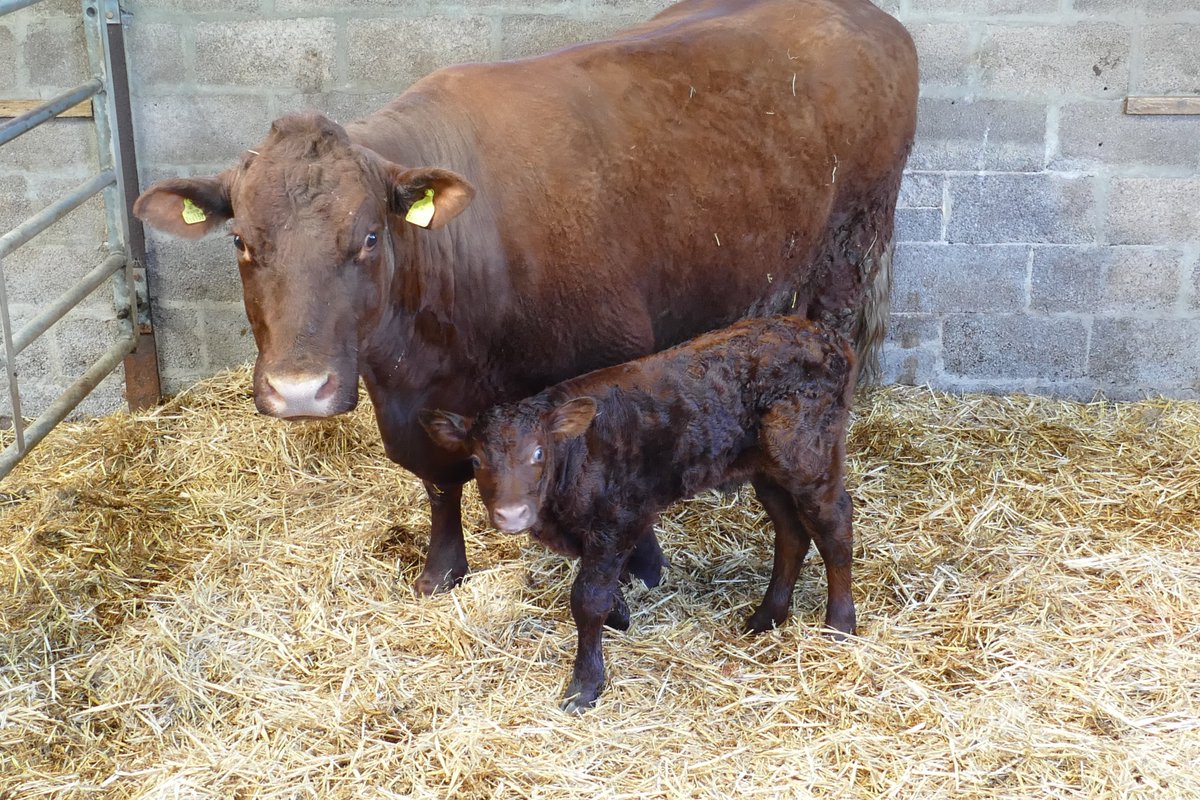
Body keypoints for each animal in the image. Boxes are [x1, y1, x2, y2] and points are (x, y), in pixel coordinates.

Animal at [132, 0, 917, 595]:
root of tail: (870, 17)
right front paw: (442, 570)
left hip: (851, 245)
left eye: (369, 237)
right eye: (242, 241)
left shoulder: (610, 358)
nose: (300, 389)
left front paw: (642, 566)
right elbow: (439, 481)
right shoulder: (408, 402)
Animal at [420, 316, 857, 712]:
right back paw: (767, 616)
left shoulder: (617, 521)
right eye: (476, 460)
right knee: (792, 532)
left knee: (834, 524)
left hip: (810, 459)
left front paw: (585, 686)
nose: (511, 514)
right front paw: (619, 615)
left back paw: (839, 626)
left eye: (538, 452)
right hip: (766, 470)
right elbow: (601, 590)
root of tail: (822, 333)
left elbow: (587, 598)